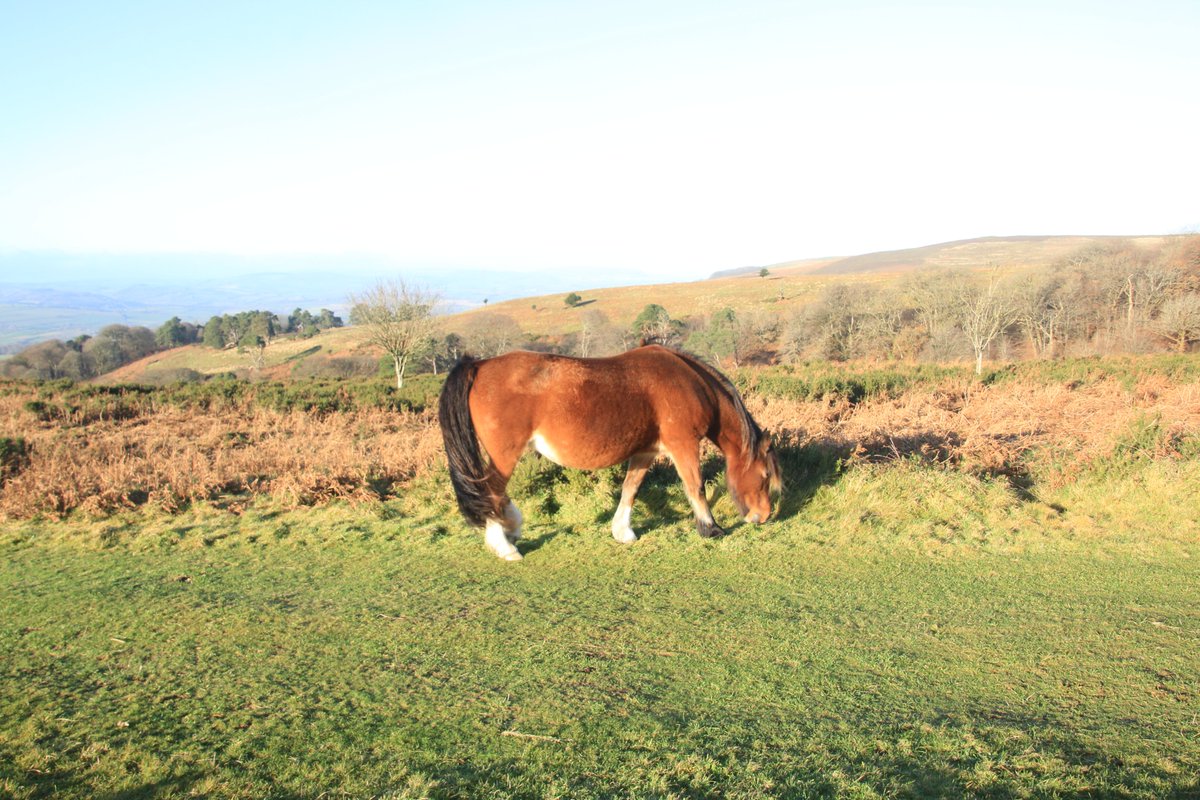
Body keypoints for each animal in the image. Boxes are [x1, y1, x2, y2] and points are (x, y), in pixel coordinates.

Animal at [436, 345, 782, 563]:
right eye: (765, 475)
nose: (764, 516)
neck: (690, 382)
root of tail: (480, 366)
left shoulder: (646, 451)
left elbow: (631, 488)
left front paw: (622, 531)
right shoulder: (683, 444)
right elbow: (695, 487)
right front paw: (711, 528)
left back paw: (512, 526)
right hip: (505, 454)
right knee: (490, 493)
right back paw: (505, 546)